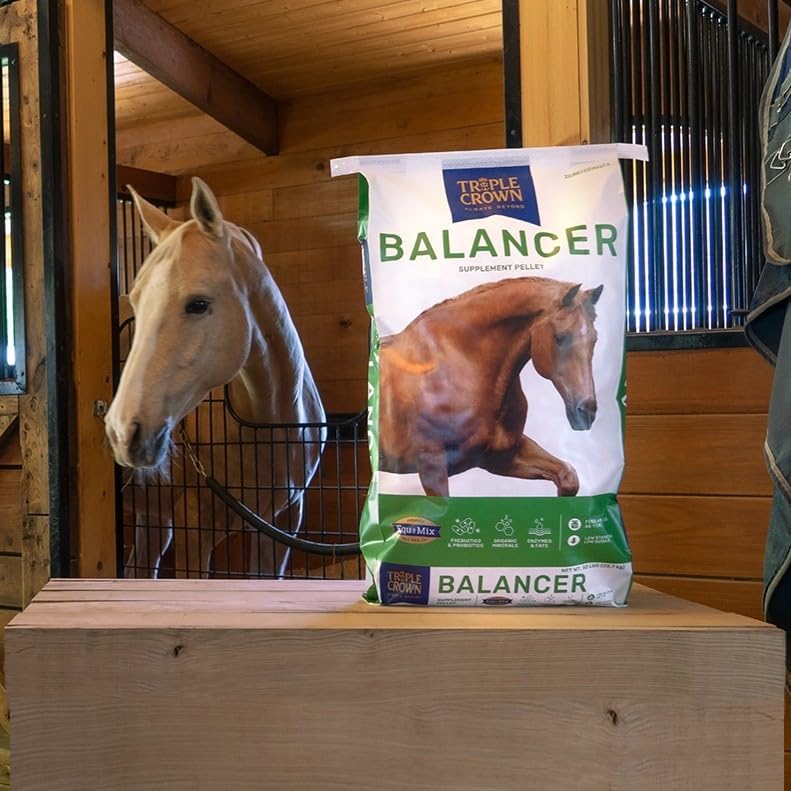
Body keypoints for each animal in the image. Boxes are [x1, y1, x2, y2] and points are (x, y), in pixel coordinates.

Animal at [378, 276, 603, 497]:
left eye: (595, 339)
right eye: (560, 337)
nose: (586, 411)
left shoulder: (500, 456)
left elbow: (568, 477)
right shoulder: (432, 466)